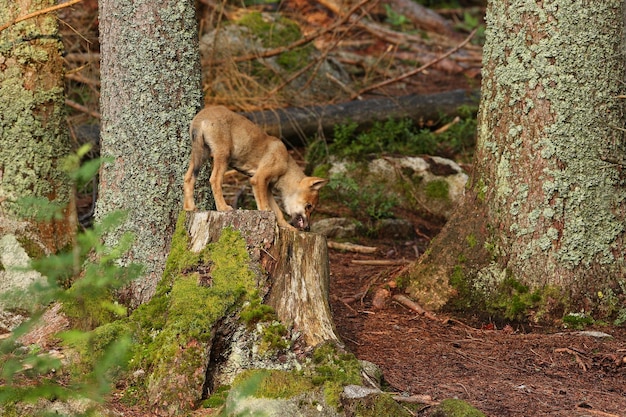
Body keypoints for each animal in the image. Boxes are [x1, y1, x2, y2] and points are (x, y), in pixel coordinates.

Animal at [180, 106, 326, 231]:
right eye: (309, 206)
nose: (308, 229)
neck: (286, 165)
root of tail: (201, 116)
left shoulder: (267, 187)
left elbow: (277, 211)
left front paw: (286, 227)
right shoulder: (258, 179)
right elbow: (264, 207)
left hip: (200, 155)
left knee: (188, 178)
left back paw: (189, 207)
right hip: (222, 156)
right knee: (214, 180)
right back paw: (223, 207)